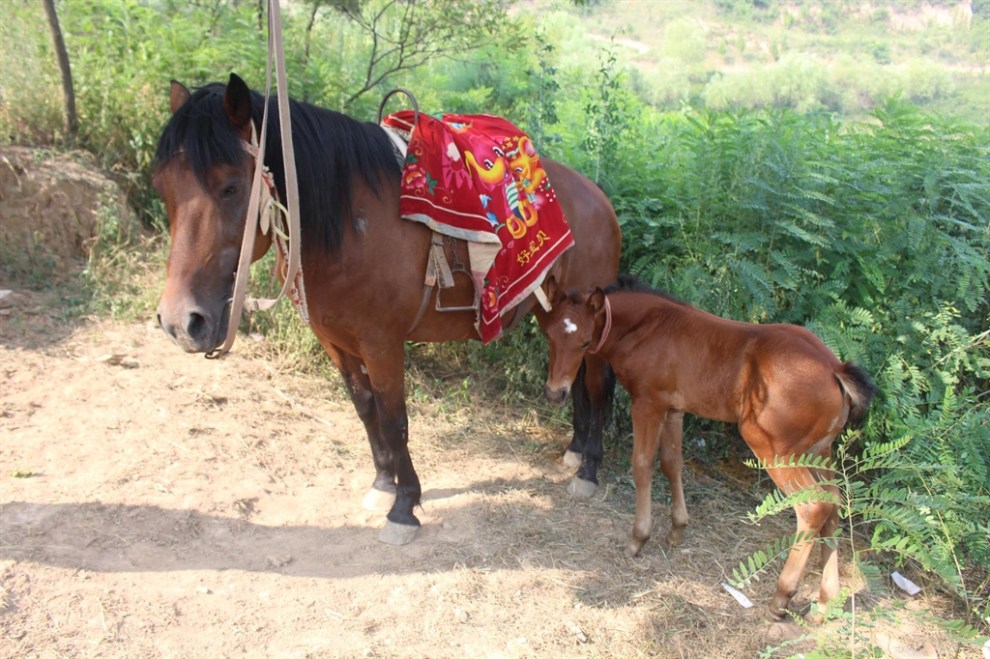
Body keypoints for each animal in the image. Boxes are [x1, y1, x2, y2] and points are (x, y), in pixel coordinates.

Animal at [153, 73, 620, 548]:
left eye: (230, 187)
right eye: (163, 187)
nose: (181, 323)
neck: (348, 225)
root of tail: (598, 198)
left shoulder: (382, 343)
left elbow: (395, 419)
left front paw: (404, 507)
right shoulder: (335, 340)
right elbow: (365, 408)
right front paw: (382, 484)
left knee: (598, 385)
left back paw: (588, 469)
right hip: (558, 316)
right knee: (574, 373)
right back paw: (574, 451)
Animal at [544, 276, 876, 620]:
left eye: (585, 342)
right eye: (549, 334)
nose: (555, 393)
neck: (647, 328)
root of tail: (835, 369)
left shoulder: (647, 403)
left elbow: (643, 464)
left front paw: (638, 538)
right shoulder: (674, 409)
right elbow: (671, 463)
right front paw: (677, 528)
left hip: (774, 447)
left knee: (813, 506)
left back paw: (782, 597)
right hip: (819, 451)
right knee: (835, 501)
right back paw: (824, 602)